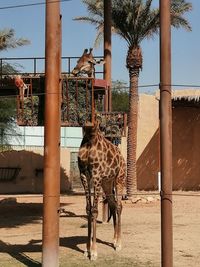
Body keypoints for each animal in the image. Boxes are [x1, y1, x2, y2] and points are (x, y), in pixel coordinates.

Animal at [77, 120, 126, 260]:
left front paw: (93, 252)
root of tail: (122, 157)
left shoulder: (96, 175)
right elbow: (88, 209)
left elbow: (94, 210)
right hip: (107, 183)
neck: (89, 137)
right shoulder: (84, 174)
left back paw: (119, 244)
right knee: (113, 204)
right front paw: (87, 249)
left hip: (119, 179)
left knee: (119, 205)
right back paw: (114, 240)